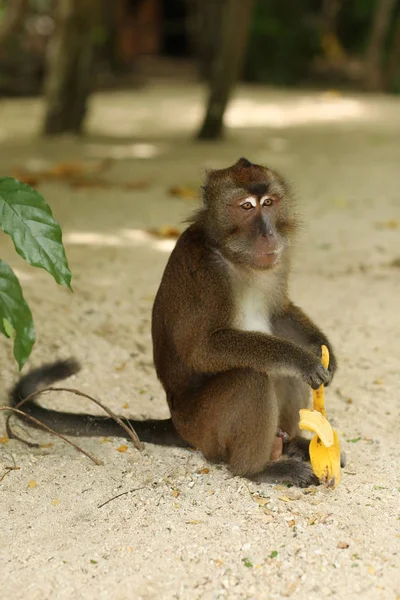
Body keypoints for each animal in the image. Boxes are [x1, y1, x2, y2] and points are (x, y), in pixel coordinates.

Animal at [9, 158, 338, 488]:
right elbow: (204, 349)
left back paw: (293, 443)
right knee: (251, 377)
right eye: (246, 206)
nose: (268, 233)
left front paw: (322, 349)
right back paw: (256, 469)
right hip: (204, 427)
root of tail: (177, 423)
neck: (233, 256)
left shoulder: (278, 262)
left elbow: (279, 314)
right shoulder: (207, 273)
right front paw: (300, 359)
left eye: (269, 203)